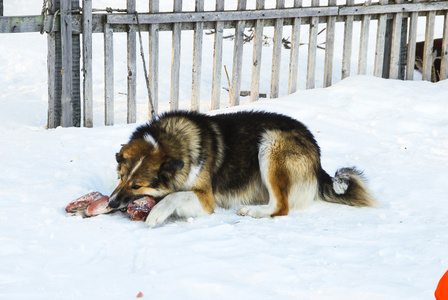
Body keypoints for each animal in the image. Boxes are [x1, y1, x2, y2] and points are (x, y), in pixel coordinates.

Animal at [108, 110, 374, 227]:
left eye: (137, 186)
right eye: (120, 177)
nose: (111, 203)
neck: (169, 141)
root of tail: (317, 154)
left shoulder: (206, 199)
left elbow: (174, 195)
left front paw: (156, 213)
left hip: (270, 144)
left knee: (282, 206)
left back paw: (253, 211)